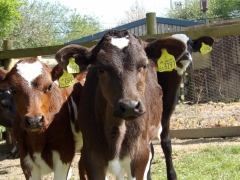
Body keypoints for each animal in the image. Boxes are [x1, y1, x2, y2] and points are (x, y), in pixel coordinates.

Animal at [55, 29, 187, 179]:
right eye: (101, 68)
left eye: (144, 65)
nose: (130, 107)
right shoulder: (90, 156)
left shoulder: (139, 154)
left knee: (166, 144)